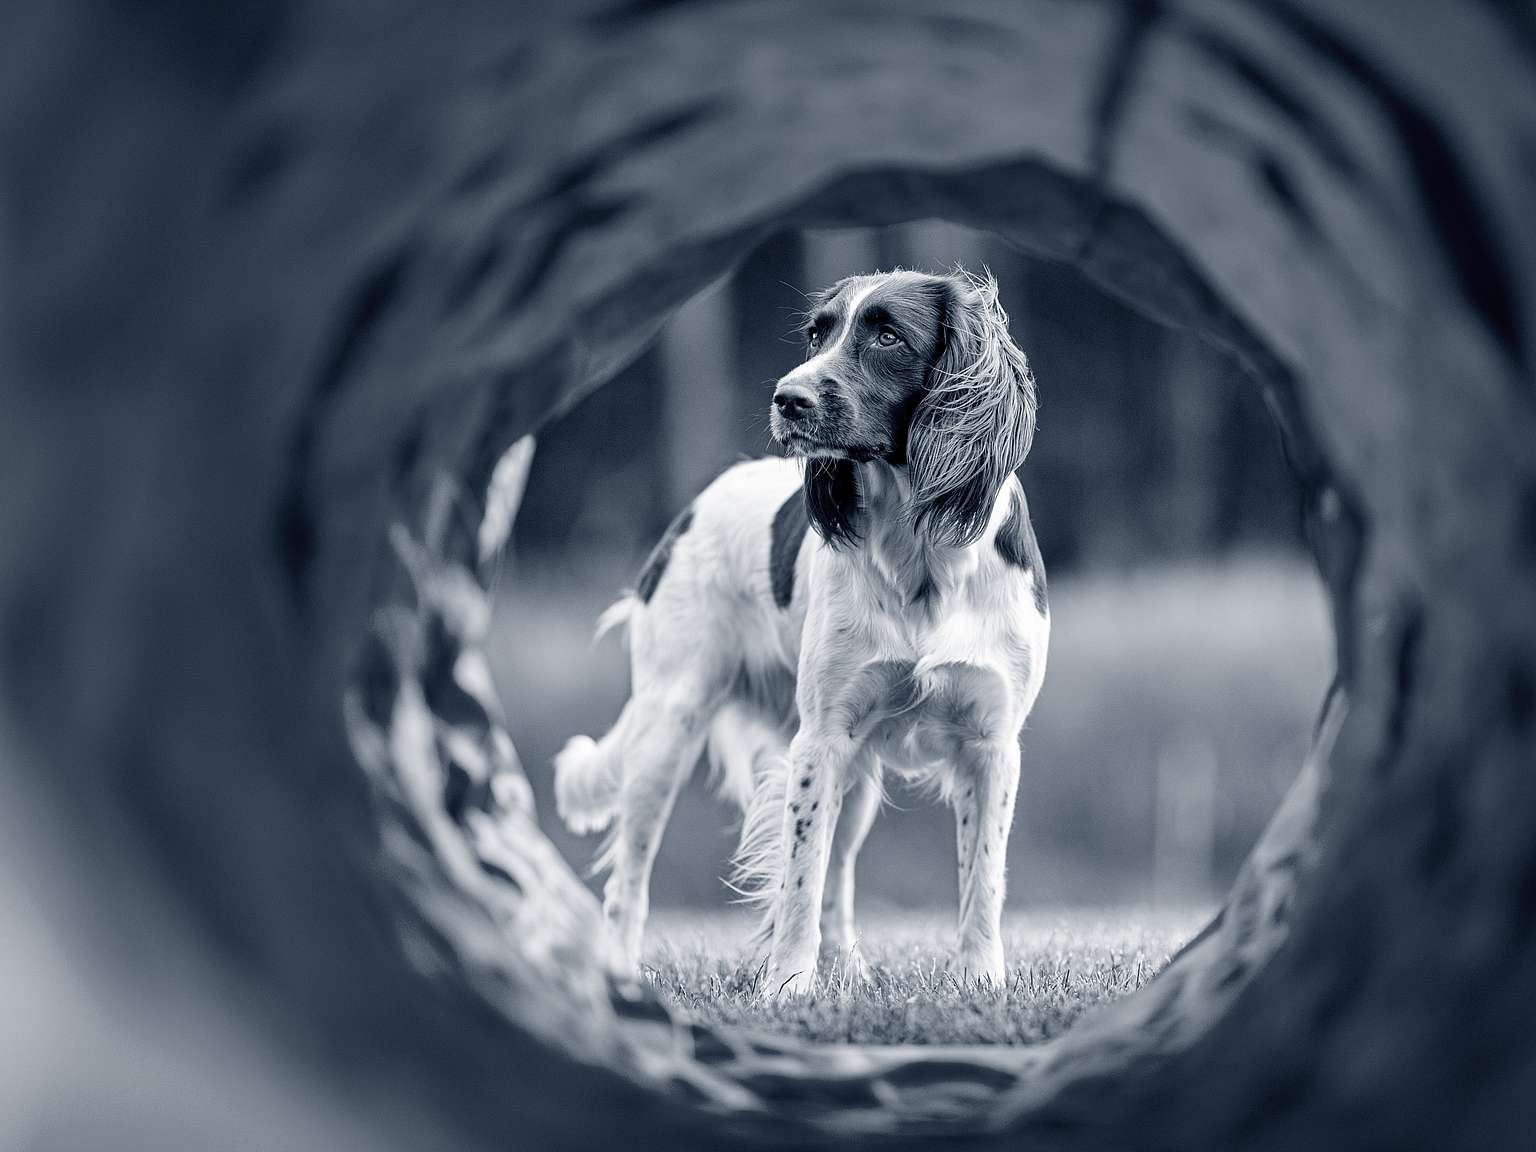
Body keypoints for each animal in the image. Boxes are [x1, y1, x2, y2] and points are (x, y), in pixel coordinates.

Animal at [559, 268, 1050, 995]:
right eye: (818, 333)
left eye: (886, 336)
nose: (786, 399)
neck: (919, 554)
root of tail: (692, 510)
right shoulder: (821, 740)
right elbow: (799, 879)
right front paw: (788, 987)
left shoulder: (991, 744)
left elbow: (981, 880)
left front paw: (980, 982)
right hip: (669, 728)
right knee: (632, 880)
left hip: (858, 772)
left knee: (839, 875)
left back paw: (848, 971)